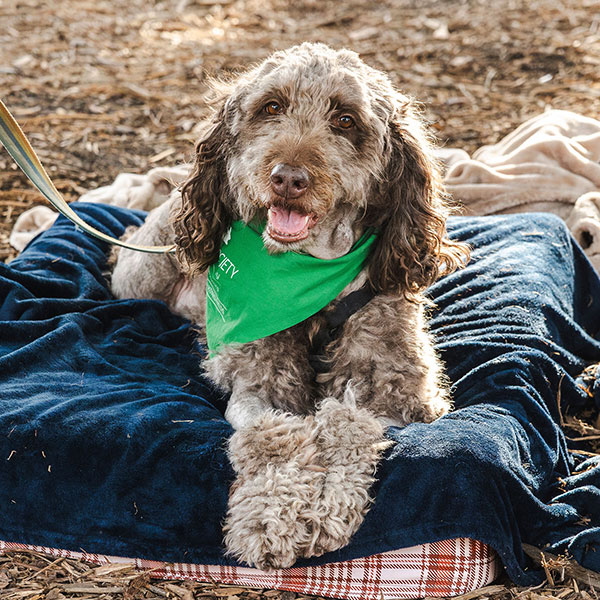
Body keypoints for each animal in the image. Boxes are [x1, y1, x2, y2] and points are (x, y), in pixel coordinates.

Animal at [110, 41, 472, 568]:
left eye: (345, 120)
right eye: (271, 107)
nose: (287, 178)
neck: (310, 276)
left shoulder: (401, 399)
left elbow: (347, 426)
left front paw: (326, 511)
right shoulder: (258, 386)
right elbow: (273, 438)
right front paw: (271, 520)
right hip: (143, 274)